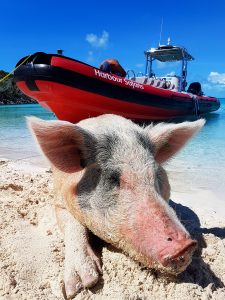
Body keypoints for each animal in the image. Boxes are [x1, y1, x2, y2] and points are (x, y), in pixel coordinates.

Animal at [28, 114, 206, 298]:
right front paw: (79, 287)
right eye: (114, 179)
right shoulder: (58, 200)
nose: (185, 246)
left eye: (156, 175)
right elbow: (73, 226)